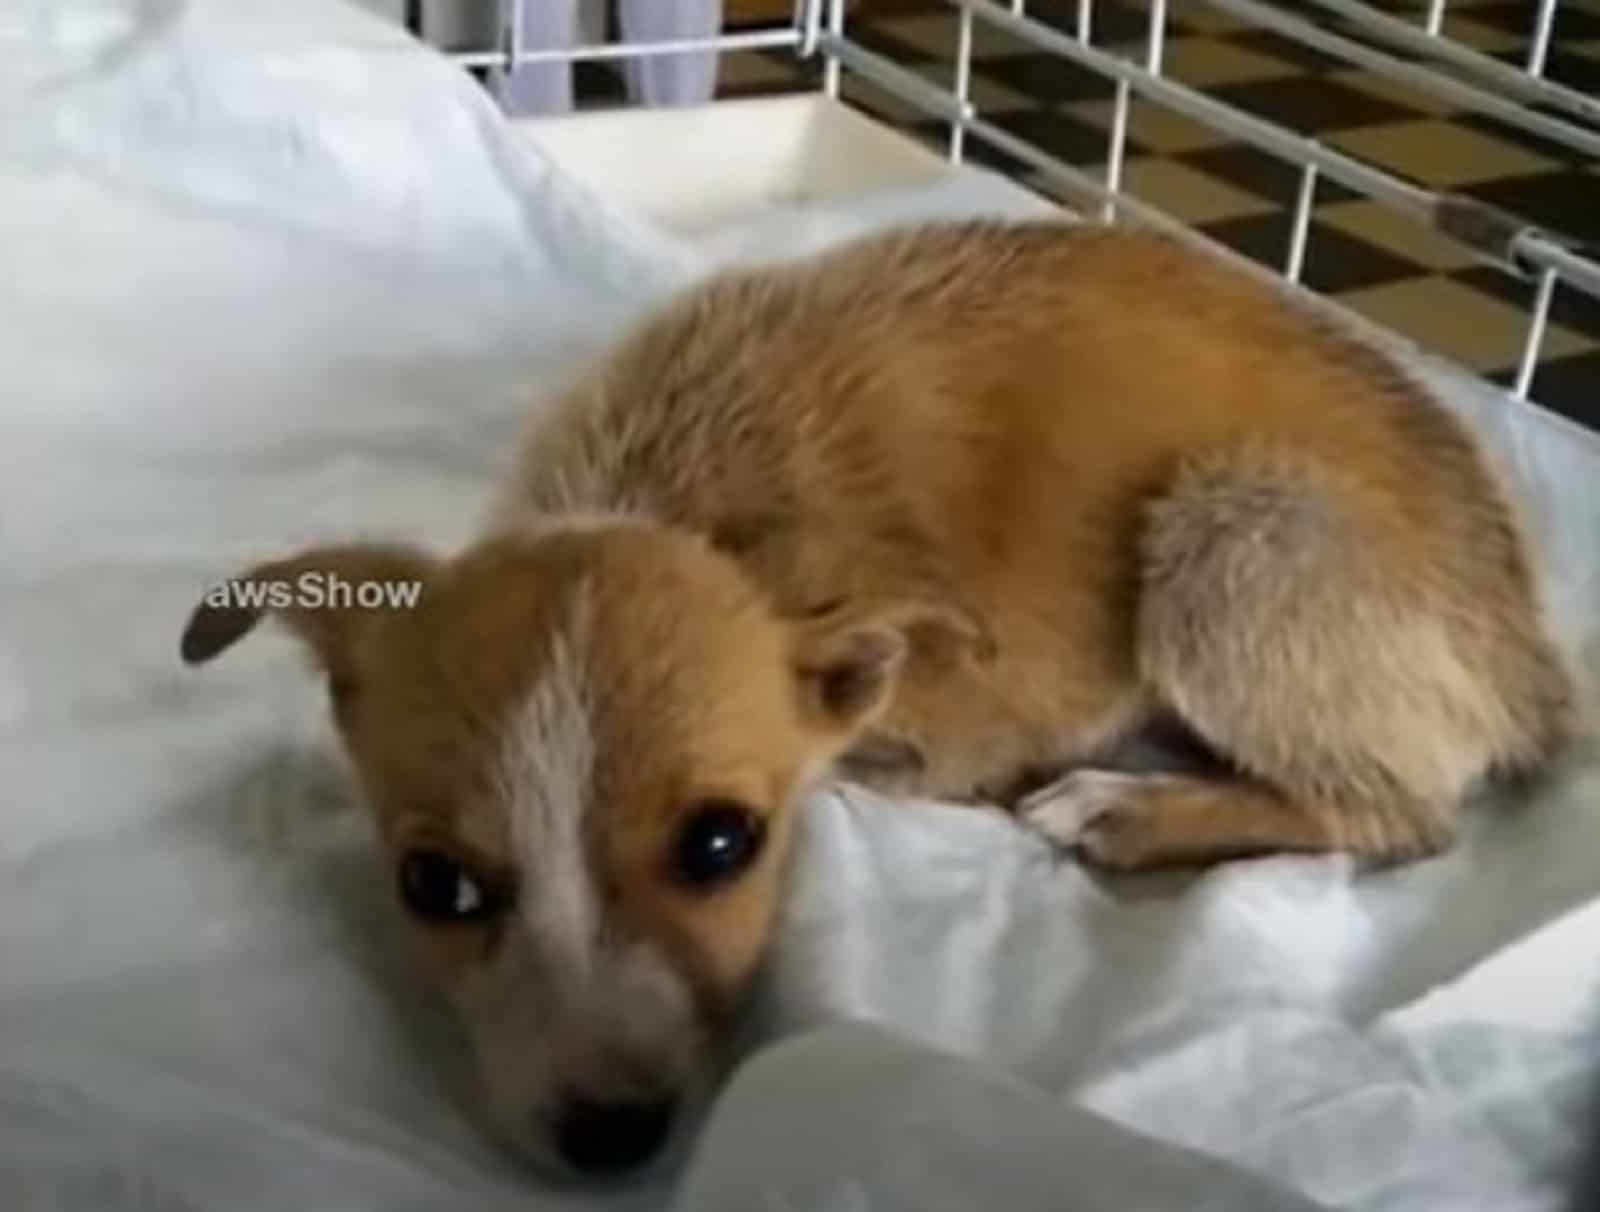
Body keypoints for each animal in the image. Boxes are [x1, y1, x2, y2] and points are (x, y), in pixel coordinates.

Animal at [184, 219, 1574, 1176]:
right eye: (435, 886)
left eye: (723, 845)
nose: (612, 1139)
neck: (689, 499)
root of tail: (1532, 666)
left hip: (1237, 530)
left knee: (1401, 813)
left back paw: (1127, 809)